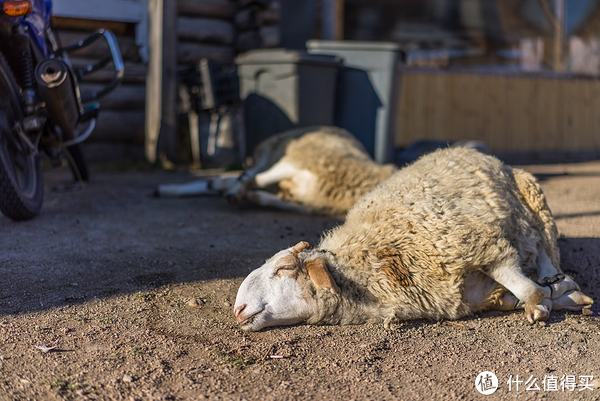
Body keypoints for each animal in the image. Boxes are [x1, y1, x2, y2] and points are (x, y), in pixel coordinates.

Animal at [156, 126, 398, 214]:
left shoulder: (308, 205)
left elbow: (269, 198)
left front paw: (253, 197)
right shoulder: (298, 160)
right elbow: (252, 180)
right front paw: (238, 194)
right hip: (277, 154)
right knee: (248, 175)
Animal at [233, 147, 592, 332]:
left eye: (284, 268)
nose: (238, 309)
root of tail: (481, 154)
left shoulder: (483, 245)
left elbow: (528, 289)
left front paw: (545, 301)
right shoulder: (470, 293)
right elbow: (519, 294)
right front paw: (558, 296)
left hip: (534, 201)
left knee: (544, 247)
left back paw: (551, 276)